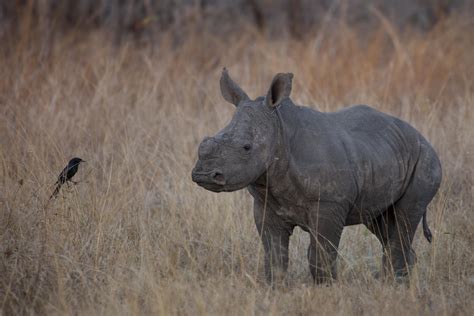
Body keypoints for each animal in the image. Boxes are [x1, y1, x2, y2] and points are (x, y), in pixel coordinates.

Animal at [191, 69, 442, 284]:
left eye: (246, 147)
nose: (203, 175)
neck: (279, 130)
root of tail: (421, 136)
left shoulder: (330, 203)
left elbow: (320, 254)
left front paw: (326, 288)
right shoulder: (266, 204)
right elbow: (275, 255)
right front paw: (275, 287)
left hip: (426, 160)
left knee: (403, 219)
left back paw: (394, 284)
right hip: (386, 153)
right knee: (381, 223)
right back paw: (398, 283)